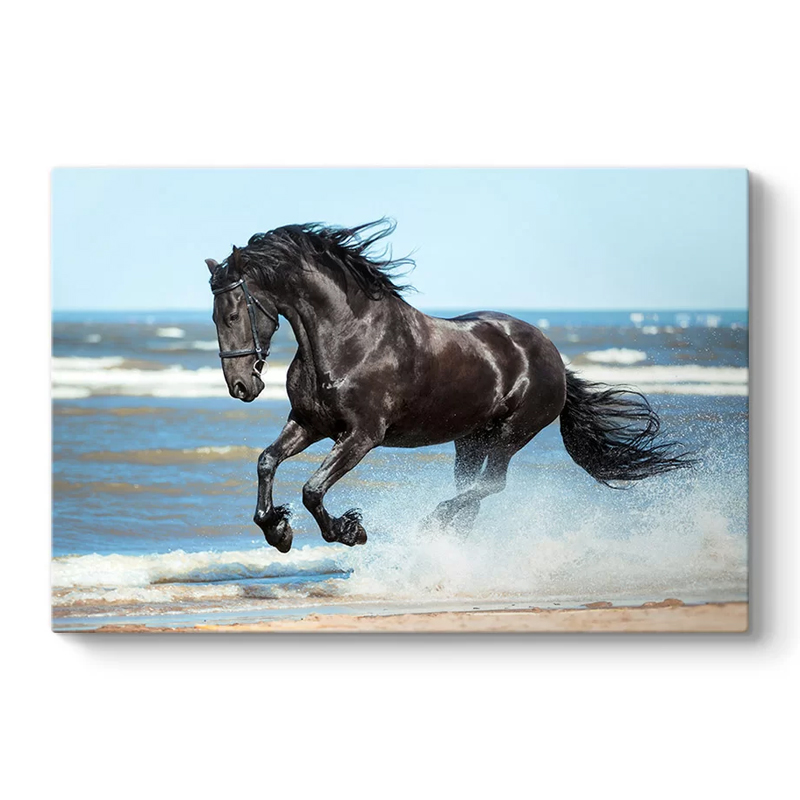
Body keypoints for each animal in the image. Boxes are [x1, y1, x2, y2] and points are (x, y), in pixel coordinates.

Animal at [207, 220, 693, 553]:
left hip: (511, 434)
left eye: (233, 313)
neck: (349, 337)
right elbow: (267, 461)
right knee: (472, 492)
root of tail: (552, 355)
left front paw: (349, 530)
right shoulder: (309, 423)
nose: (241, 386)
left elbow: (313, 489)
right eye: (213, 316)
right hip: (470, 439)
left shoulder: (362, 436)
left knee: (489, 487)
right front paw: (278, 530)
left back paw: (433, 524)